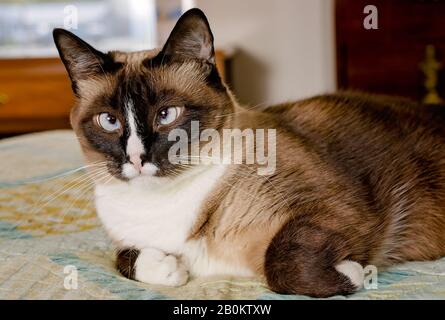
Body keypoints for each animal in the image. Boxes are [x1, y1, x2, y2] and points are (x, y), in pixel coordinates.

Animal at [53, 8, 444, 298]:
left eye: (167, 115)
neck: (161, 208)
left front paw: (353, 273)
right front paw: (170, 269)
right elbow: (122, 258)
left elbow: (282, 266)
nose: (136, 158)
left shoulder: (331, 206)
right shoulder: (124, 243)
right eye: (109, 121)